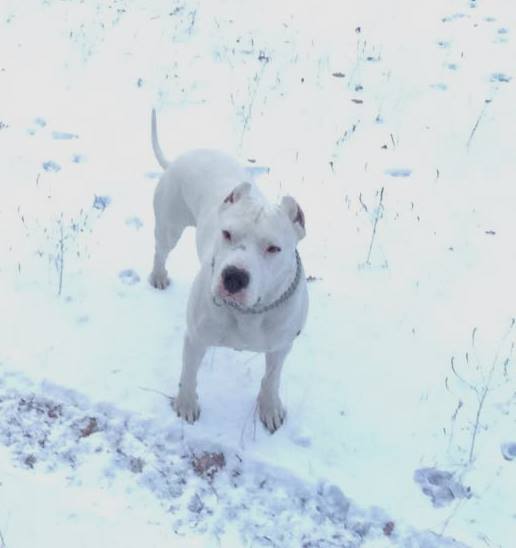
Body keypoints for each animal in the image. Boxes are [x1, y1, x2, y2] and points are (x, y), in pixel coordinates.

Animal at [151, 111, 308, 432]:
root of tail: (178, 159)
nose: (234, 276)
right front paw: (186, 404)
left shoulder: (281, 346)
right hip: (169, 226)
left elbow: (271, 378)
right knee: (161, 249)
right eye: (226, 233)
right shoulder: (196, 338)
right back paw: (158, 275)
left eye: (273, 248)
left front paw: (269, 408)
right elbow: (189, 374)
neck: (249, 313)